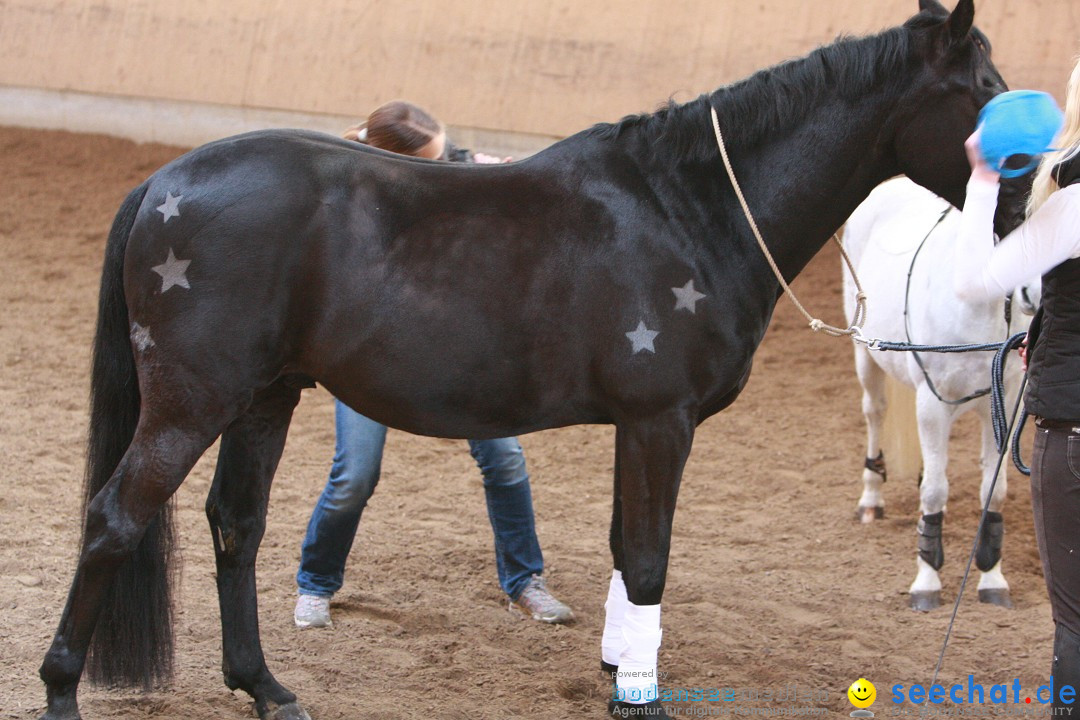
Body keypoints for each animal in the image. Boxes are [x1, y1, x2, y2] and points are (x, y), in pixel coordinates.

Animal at [842, 177, 1036, 613]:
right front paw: (927, 582)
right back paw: (870, 500)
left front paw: (992, 579)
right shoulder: (932, 404)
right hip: (866, 354)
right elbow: (934, 491)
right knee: (875, 412)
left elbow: (993, 490)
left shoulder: (1004, 404)